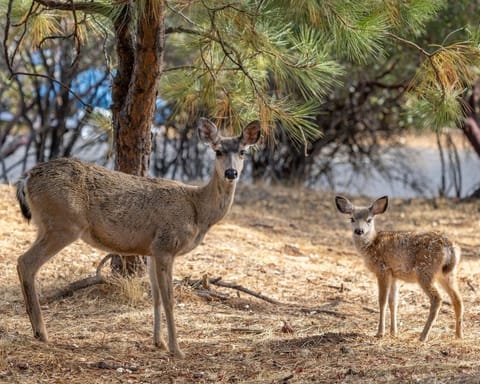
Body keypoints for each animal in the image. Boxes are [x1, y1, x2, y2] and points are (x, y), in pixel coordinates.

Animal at [15, 117, 260, 356]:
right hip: (64, 224)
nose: (231, 173)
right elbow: (169, 299)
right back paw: (41, 332)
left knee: (23, 261)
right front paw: (176, 349)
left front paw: (159, 342)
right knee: (26, 262)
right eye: (217, 151)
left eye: (242, 152)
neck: (198, 209)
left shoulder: (152, 250)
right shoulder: (166, 245)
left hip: (46, 226)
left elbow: (156, 296)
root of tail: (26, 178)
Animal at [336, 196, 464, 340]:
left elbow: (382, 301)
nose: (359, 231)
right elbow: (393, 302)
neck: (371, 245)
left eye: (369, 220)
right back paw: (459, 335)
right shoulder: (394, 275)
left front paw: (380, 333)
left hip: (425, 271)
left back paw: (423, 336)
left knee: (437, 299)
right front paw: (393, 332)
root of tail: (450, 247)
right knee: (457, 299)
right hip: (447, 274)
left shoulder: (383, 269)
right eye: (352, 219)